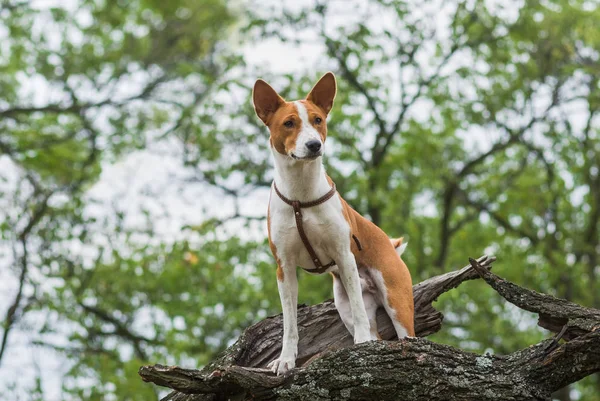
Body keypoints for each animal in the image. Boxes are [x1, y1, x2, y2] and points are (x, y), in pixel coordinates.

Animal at [252, 72, 412, 376]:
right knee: (372, 329)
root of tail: (389, 243)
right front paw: (286, 359)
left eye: (318, 120)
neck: (301, 194)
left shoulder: (343, 255)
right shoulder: (284, 268)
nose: (314, 145)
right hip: (343, 304)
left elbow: (361, 317)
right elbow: (290, 324)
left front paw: (360, 345)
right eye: (288, 123)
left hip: (396, 299)